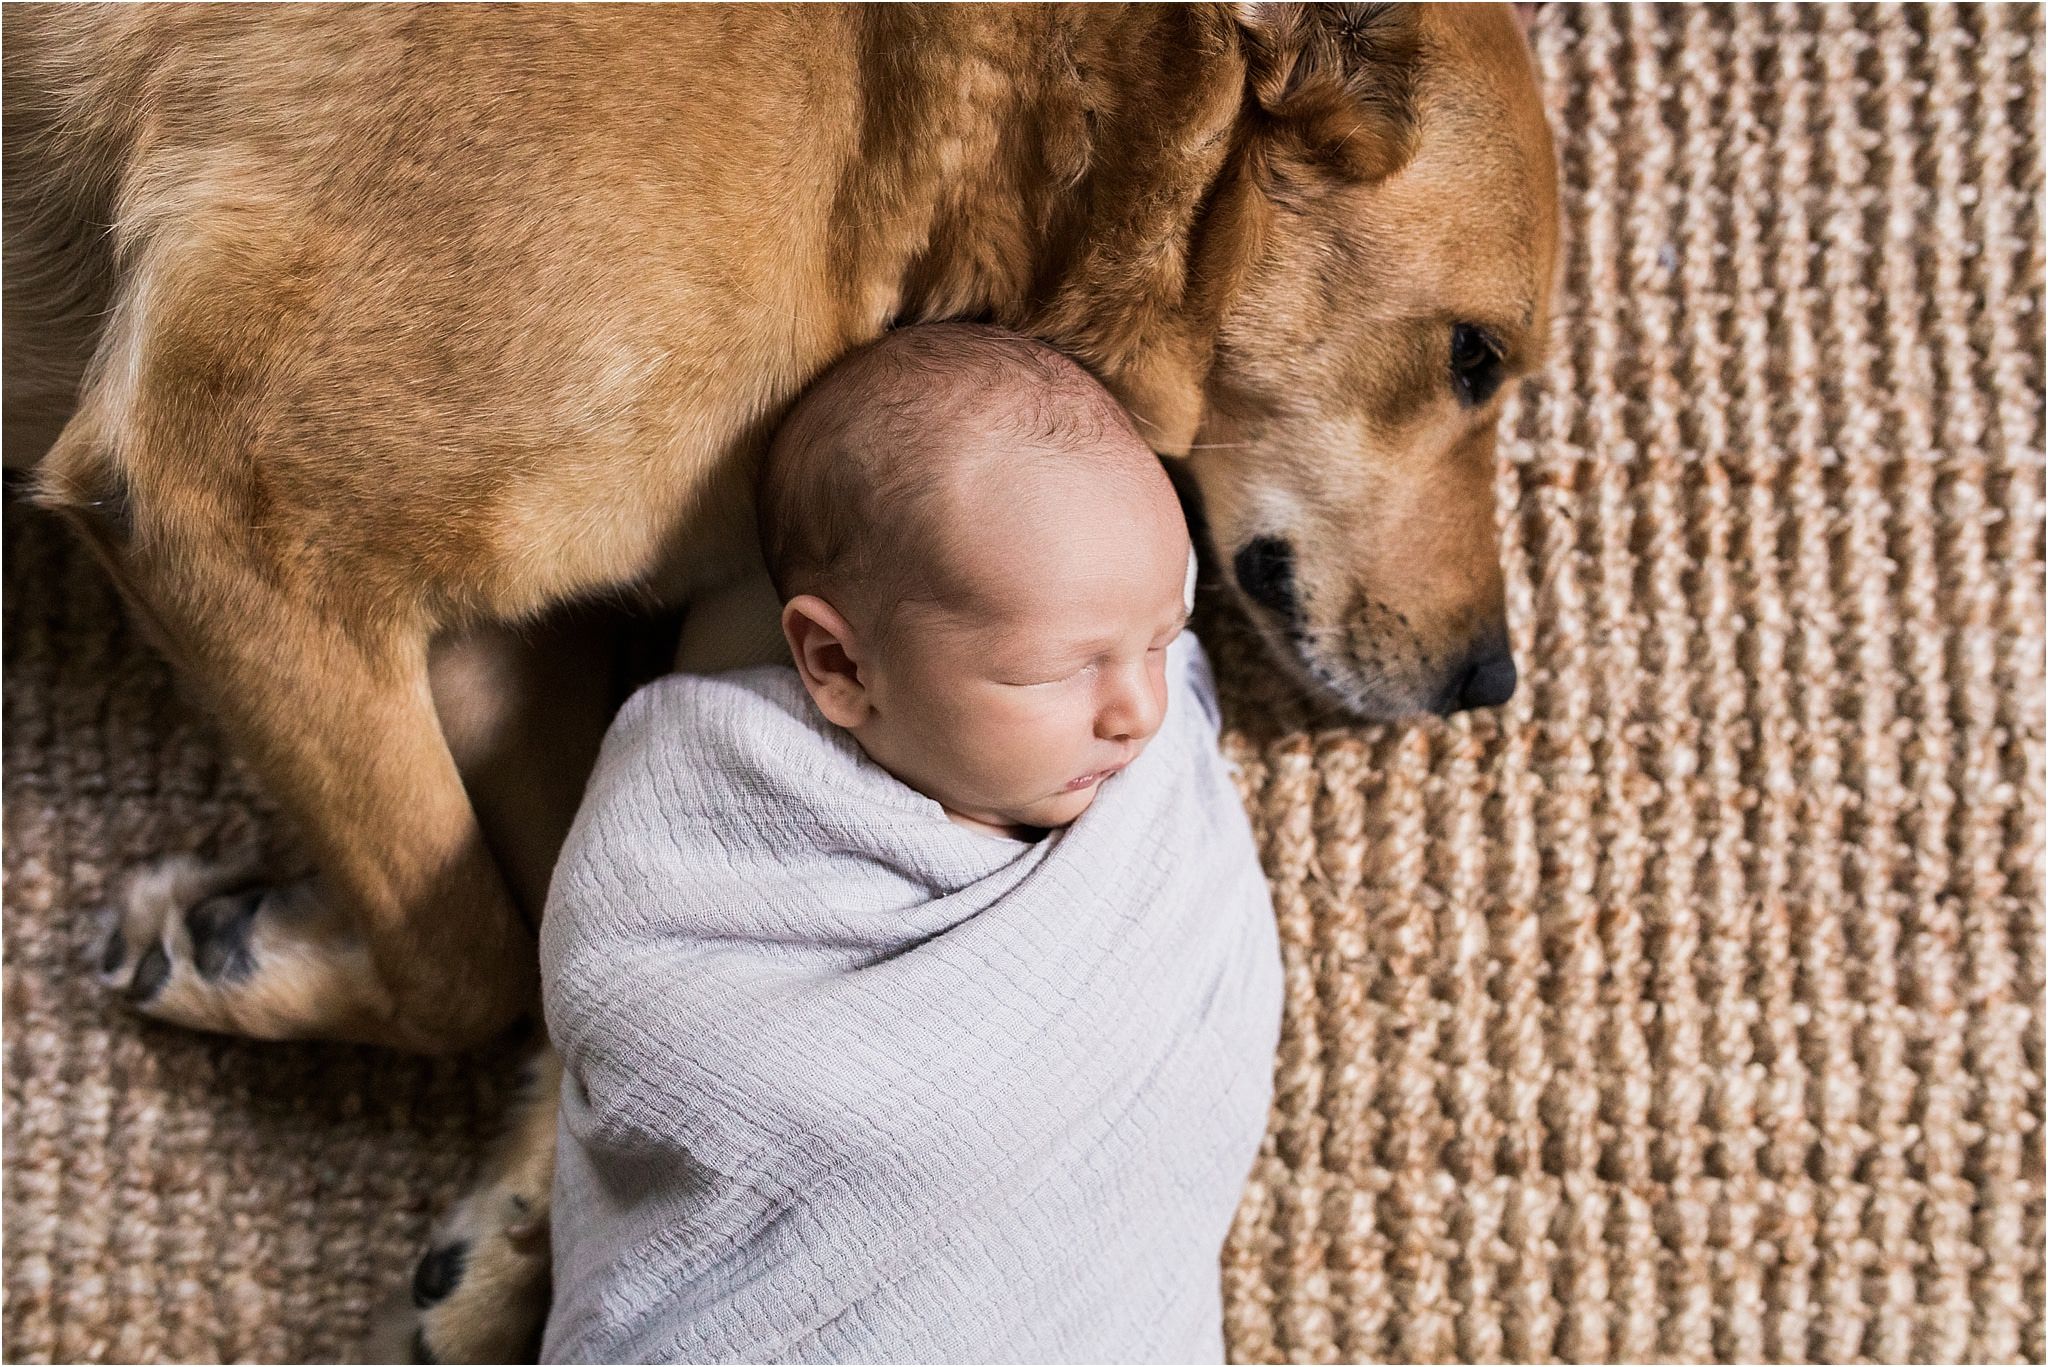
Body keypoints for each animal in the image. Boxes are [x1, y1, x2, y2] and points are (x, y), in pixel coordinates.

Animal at [4, 2, 1548, 1360]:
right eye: (1473, 356)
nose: (1494, 677)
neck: (930, 116)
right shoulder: (226, 502)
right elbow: (469, 953)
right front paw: (241, 957)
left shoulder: (505, 627)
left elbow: (549, 929)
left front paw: (510, 1232)